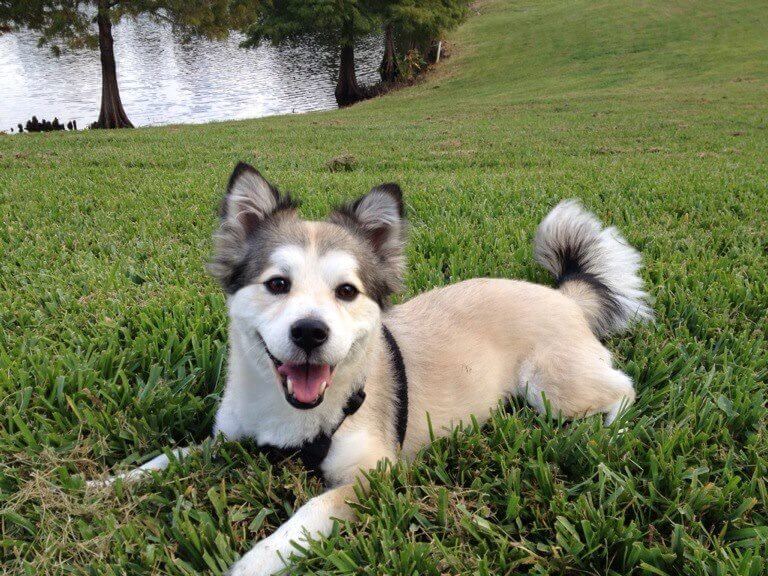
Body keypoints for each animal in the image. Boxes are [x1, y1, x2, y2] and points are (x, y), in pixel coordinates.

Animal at [90, 163, 656, 576]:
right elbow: (171, 456)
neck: (296, 415)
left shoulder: (371, 474)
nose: (310, 333)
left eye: (347, 291)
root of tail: (563, 293)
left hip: (552, 386)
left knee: (623, 388)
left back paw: (609, 432)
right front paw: (106, 485)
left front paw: (252, 564)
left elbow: (304, 517)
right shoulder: (231, 438)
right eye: (277, 284)